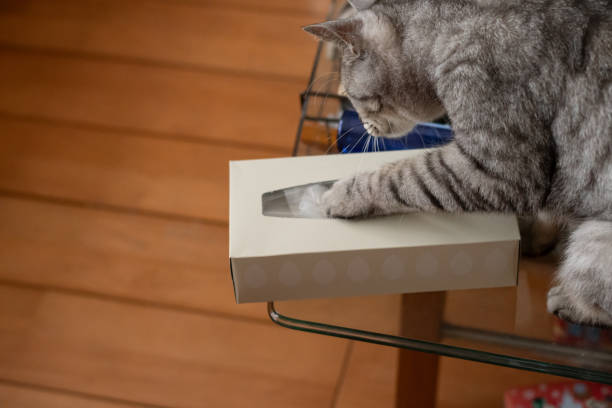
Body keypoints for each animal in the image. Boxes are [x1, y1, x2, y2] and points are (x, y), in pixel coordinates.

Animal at [306, 0, 612, 326]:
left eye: (355, 97)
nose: (365, 129)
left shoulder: (502, 167)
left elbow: (404, 175)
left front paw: (342, 195)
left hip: (590, 246)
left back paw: (569, 302)